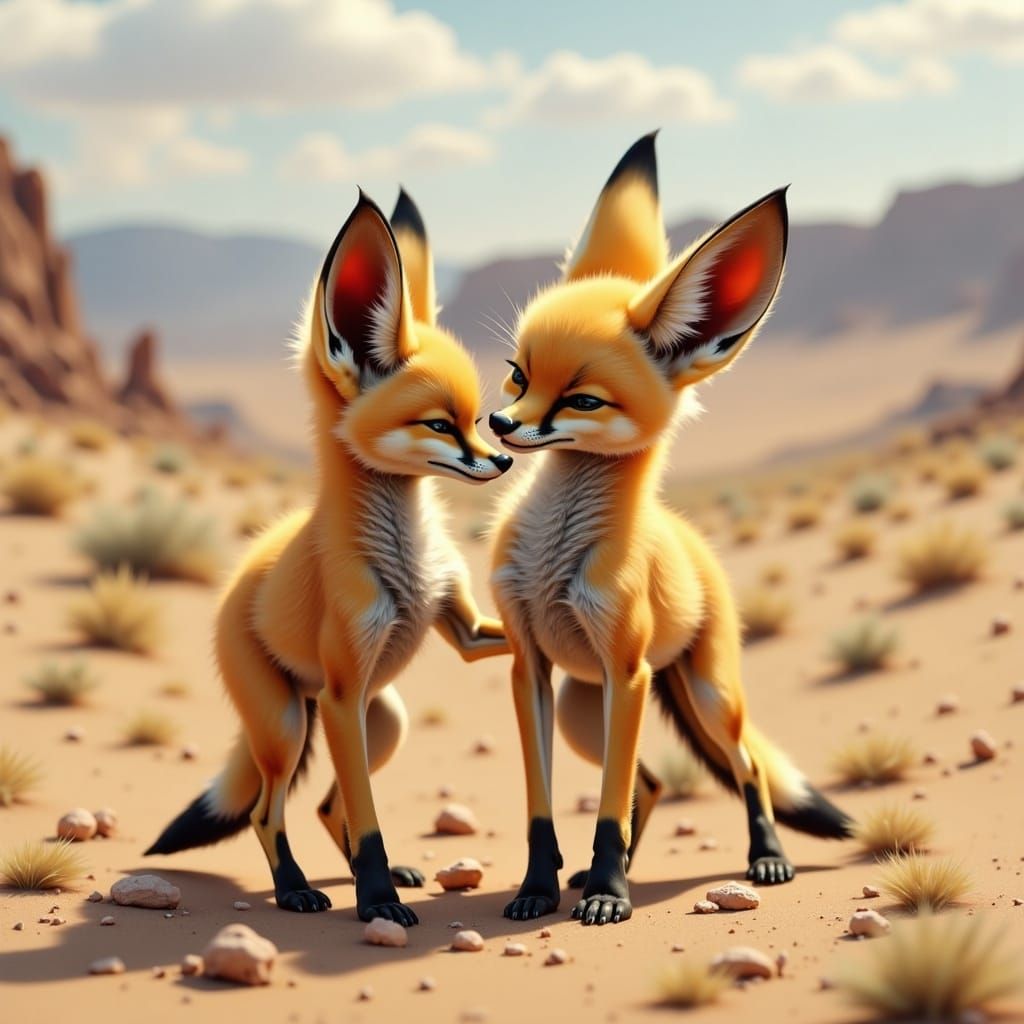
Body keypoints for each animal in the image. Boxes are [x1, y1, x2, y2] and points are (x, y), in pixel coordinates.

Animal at [146, 189, 512, 926]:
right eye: (439, 424)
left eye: (477, 417)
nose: (504, 460)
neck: (407, 563)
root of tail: (240, 581)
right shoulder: (343, 690)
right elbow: (366, 820)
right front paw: (377, 904)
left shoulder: (461, 632)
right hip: (292, 723)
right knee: (268, 812)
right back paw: (295, 888)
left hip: (382, 718)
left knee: (323, 804)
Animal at [488, 132, 854, 927]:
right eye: (517, 374)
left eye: (583, 400)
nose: (497, 424)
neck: (553, 559)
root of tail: (690, 538)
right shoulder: (529, 666)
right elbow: (541, 806)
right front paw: (538, 890)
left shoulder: (627, 669)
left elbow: (607, 808)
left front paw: (606, 896)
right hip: (582, 707)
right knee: (651, 782)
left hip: (704, 693)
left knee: (744, 766)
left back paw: (766, 857)